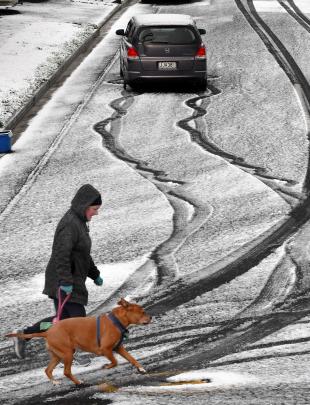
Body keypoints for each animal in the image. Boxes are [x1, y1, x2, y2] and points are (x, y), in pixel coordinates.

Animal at [6, 298, 152, 384]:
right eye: (142, 311)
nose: (151, 317)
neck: (116, 321)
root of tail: (48, 332)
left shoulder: (118, 348)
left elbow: (132, 358)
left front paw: (141, 369)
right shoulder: (105, 350)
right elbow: (115, 362)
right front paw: (106, 366)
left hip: (57, 356)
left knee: (48, 370)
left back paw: (55, 382)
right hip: (68, 353)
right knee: (66, 372)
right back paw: (78, 383)